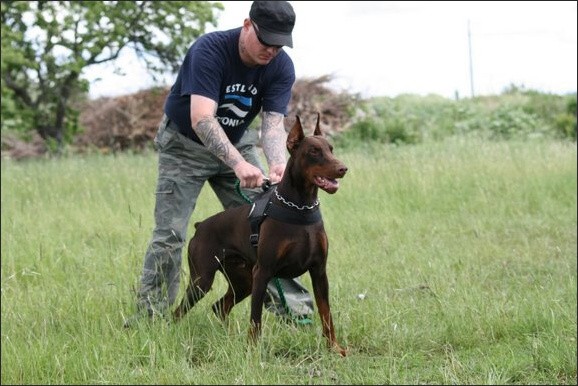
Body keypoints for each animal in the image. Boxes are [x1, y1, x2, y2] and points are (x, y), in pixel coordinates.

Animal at [173, 114, 346, 356]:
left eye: (330, 149)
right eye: (314, 151)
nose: (343, 168)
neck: (301, 207)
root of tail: (200, 226)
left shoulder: (319, 271)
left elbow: (326, 314)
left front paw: (335, 348)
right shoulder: (263, 272)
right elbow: (256, 319)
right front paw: (253, 351)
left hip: (242, 280)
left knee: (220, 306)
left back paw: (228, 337)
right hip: (203, 279)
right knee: (179, 311)